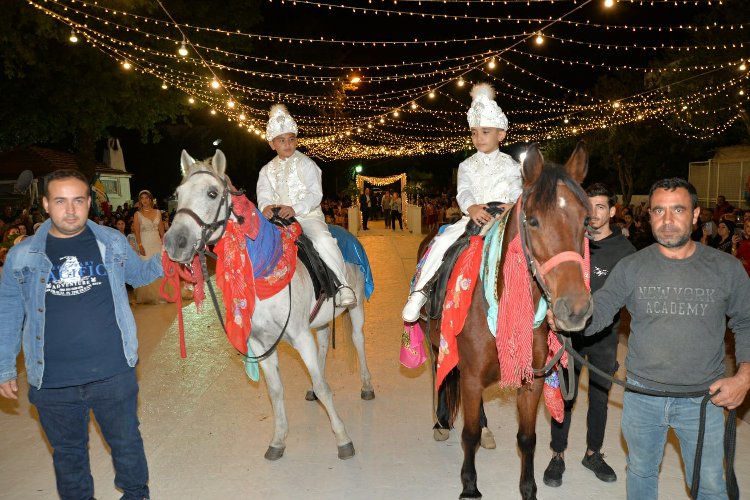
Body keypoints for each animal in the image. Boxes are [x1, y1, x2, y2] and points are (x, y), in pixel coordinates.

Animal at [165, 149, 376, 460]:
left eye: (212, 193)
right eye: (178, 194)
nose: (174, 242)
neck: (265, 269)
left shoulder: (300, 337)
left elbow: (325, 388)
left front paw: (343, 439)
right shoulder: (261, 344)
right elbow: (275, 391)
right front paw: (278, 440)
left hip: (357, 306)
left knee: (358, 339)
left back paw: (366, 386)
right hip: (321, 320)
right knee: (324, 344)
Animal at [424, 143, 592, 498]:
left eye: (586, 221)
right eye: (533, 220)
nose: (575, 308)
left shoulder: (532, 381)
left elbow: (527, 438)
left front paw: (528, 489)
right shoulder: (471, 377)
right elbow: (468, 435)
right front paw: (469, 486)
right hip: (436, 346)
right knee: (441, 376)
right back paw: (441, 421)